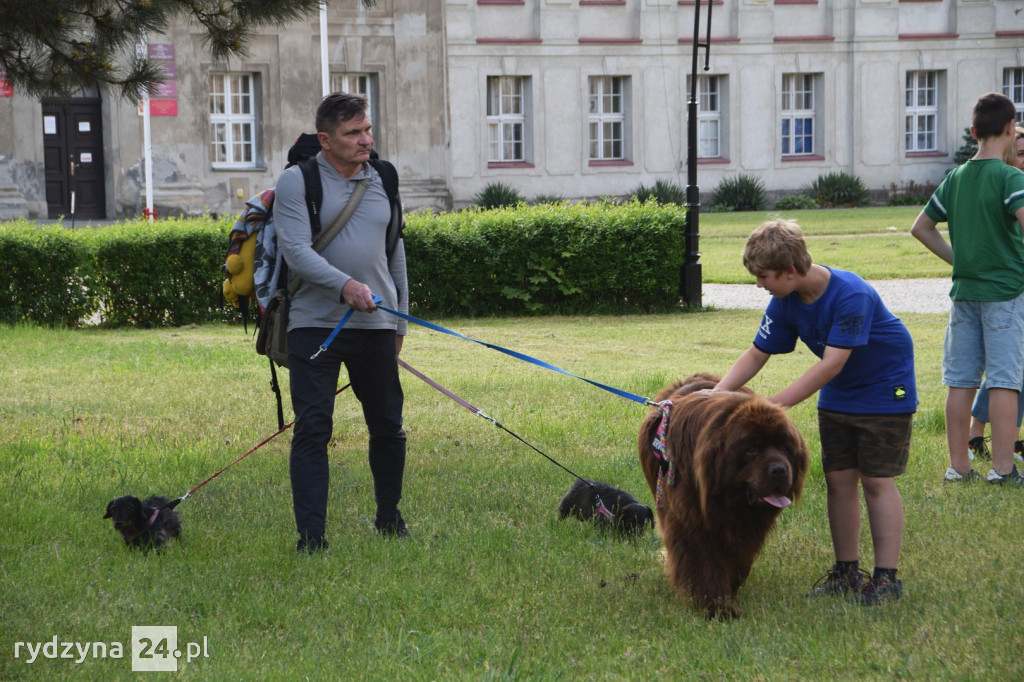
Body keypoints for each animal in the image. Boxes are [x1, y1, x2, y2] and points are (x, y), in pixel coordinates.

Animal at [638, 372, 806, 614]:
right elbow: (701, 561)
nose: (780, 470)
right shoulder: (690, 519)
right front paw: (713, 606)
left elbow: (737, 559)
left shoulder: (748, 529)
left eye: (784, 447)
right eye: (751, 449)